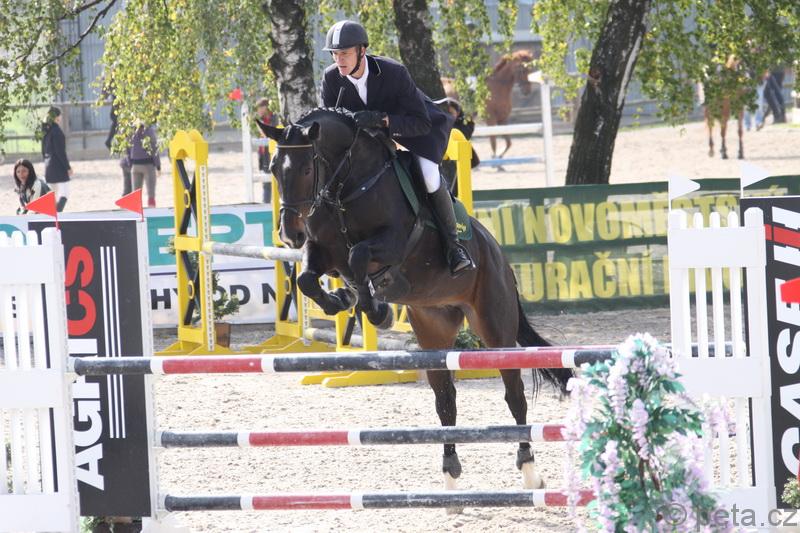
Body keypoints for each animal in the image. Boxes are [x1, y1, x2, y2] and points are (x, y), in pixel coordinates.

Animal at [256, 108, 571, 497]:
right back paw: (450, 473)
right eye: (273, 168)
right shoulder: (322, 252)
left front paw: (376, 309)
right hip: (433, 330)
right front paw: (343, 299)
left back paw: (529, 471)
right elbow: (306, 279)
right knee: (446, 401)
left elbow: (359, 256)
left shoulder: (391, 243)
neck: (348, 184)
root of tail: (498, 254)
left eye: (305, 170)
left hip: (494, 328)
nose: (289, 234)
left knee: (515, 396)